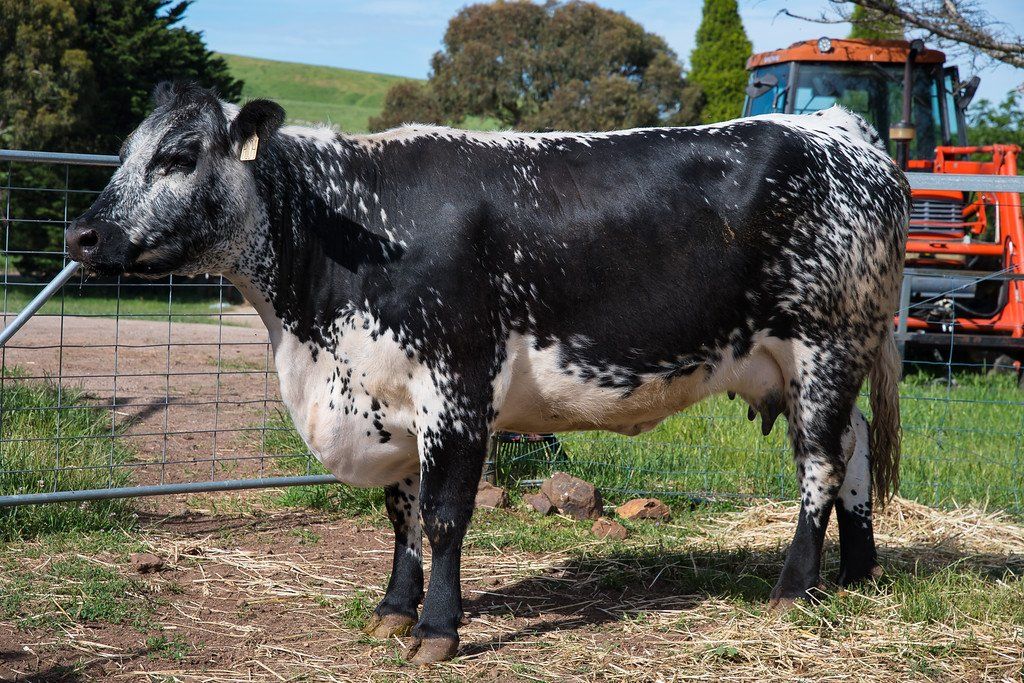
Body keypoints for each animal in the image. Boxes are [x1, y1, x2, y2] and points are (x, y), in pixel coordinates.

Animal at [66, 81, 908, 664]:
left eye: (179, 156)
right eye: (124, 153)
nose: (83, 234)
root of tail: (838, 129)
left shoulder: (457, 390)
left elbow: (443, 517)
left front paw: (438, 628)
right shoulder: (392, 398)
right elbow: (401, 515)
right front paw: (393, 610)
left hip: (826, 344)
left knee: (820, 463)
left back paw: (795, 587)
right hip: (806, 363)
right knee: (856, 444)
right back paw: (857, 569)